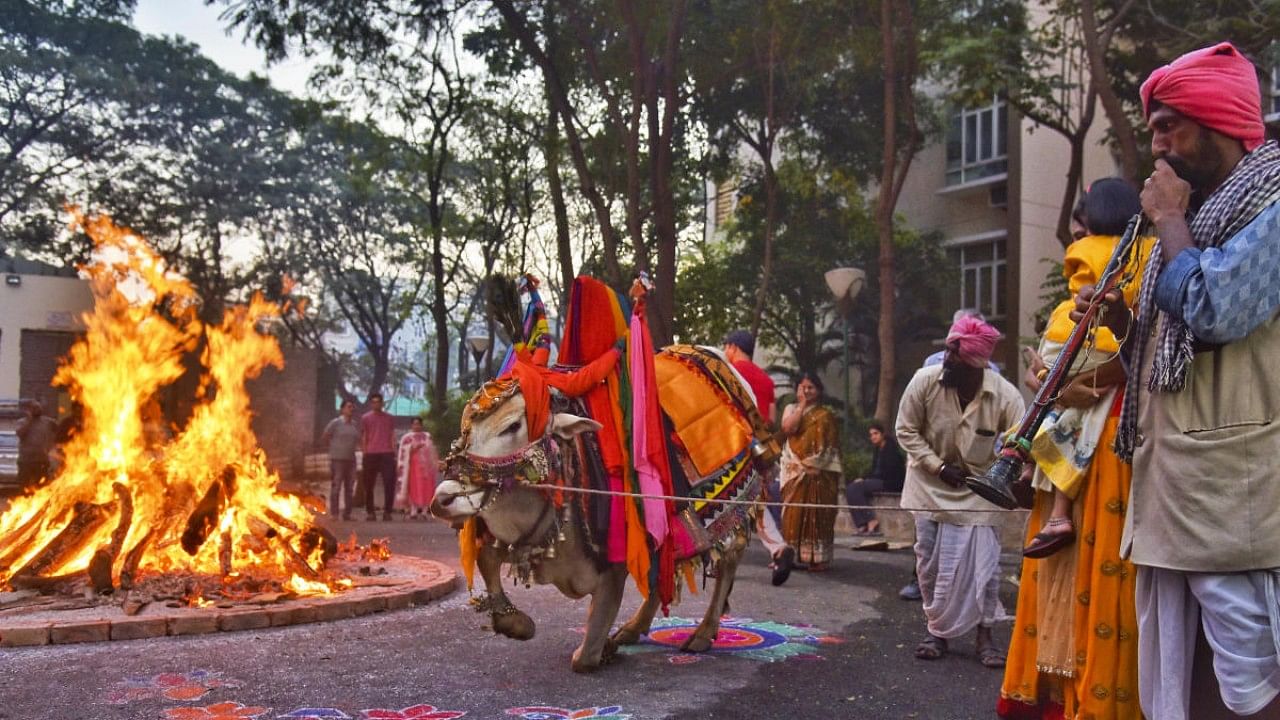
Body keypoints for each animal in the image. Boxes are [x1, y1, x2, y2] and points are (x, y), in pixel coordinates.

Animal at [430, 272, 773, 666]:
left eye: (513, 426)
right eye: (466, 426)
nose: (442, 499)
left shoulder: (613, 567)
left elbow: (585, 656)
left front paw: (600, 648)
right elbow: (487, 559)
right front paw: (515, 623)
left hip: (731, 513)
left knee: (728, 562)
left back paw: (702, 633)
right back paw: (633, 628)